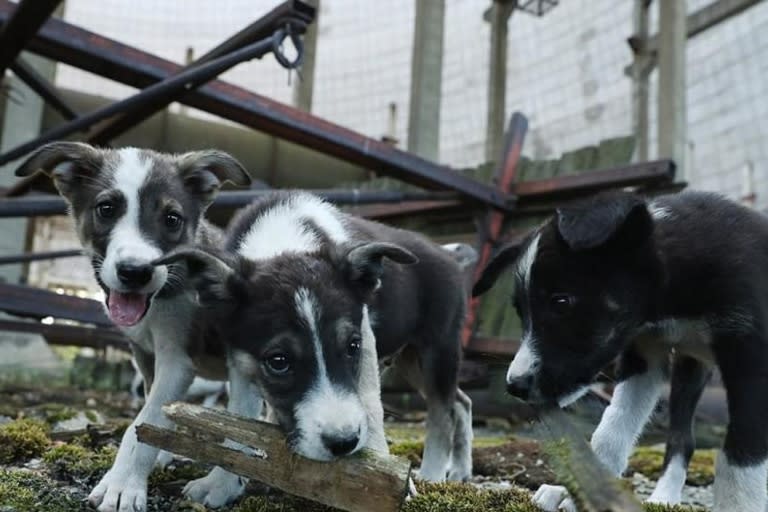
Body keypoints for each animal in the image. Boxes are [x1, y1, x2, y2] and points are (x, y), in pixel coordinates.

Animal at [14, 142, 252, 512]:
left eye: (172, 219)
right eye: (106, 209)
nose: (135, 272)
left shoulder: (177, 361)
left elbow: (141, 424)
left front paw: (123, 486)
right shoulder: (145, 355)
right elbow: (152, 418)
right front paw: (152, 460)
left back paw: (223, 483)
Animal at [474, 191, 768, 512]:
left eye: (561, 302)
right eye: (520, 311)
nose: (515, 386)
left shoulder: (752, 361)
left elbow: (740, 457)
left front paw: (739, 505)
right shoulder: (644, 355)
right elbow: (612, 430)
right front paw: (580, 493)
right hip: (690, 366)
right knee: (681, 439)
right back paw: (664, 496)